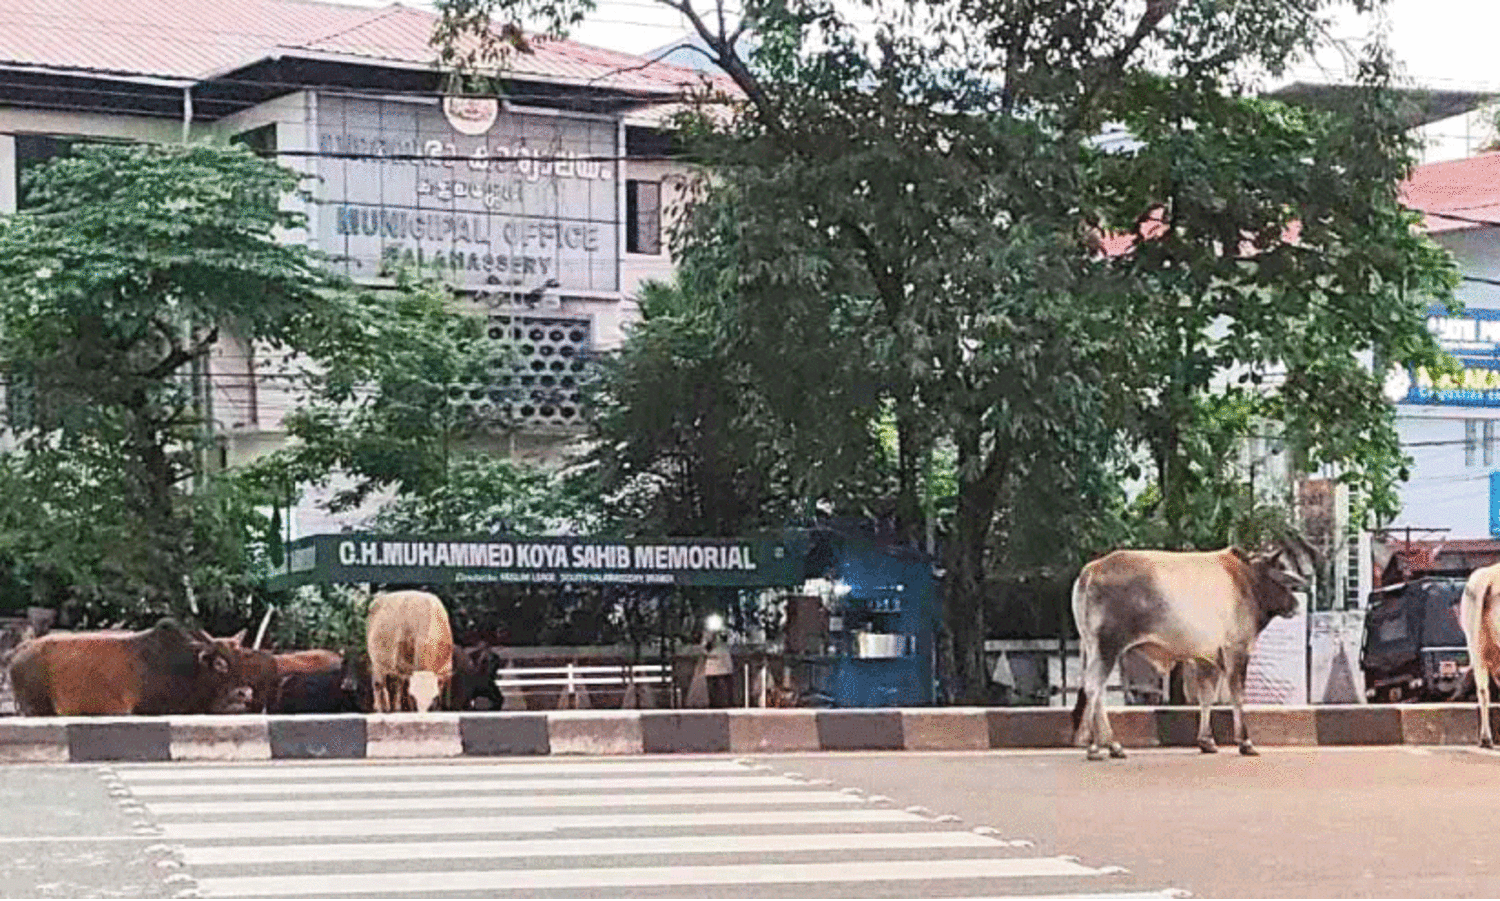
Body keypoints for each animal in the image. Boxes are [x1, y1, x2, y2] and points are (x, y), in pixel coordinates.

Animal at [1070, 536, 1317, 761]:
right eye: (1282, 576)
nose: (1296, 605)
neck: (1247, 580)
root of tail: (1092, 569)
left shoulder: (1206, 658)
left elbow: (1206, 697)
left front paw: (1206, 741)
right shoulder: (1236, 650)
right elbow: (1237, 696)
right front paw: (1245, 742)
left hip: (1094, 648)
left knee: (1097, 692)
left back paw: (1112, 746)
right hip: (1107, 647)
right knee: (1094, 688)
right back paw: (1095, 746)